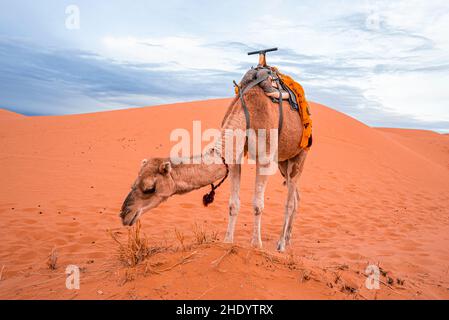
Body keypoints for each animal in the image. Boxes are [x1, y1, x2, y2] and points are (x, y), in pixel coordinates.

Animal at [119, 68, 308, 252]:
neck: (247, 113)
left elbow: (257, 205)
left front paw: (256, 245)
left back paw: (281, 244)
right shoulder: (234, 158)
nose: (124, 214)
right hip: (283, 161)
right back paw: (288, 238)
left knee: (290, 200)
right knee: (296, 196)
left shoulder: (265, 158)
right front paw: (228, 242)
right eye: (133, 184)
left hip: (301, 153)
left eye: (150, 188)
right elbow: (233, 204)